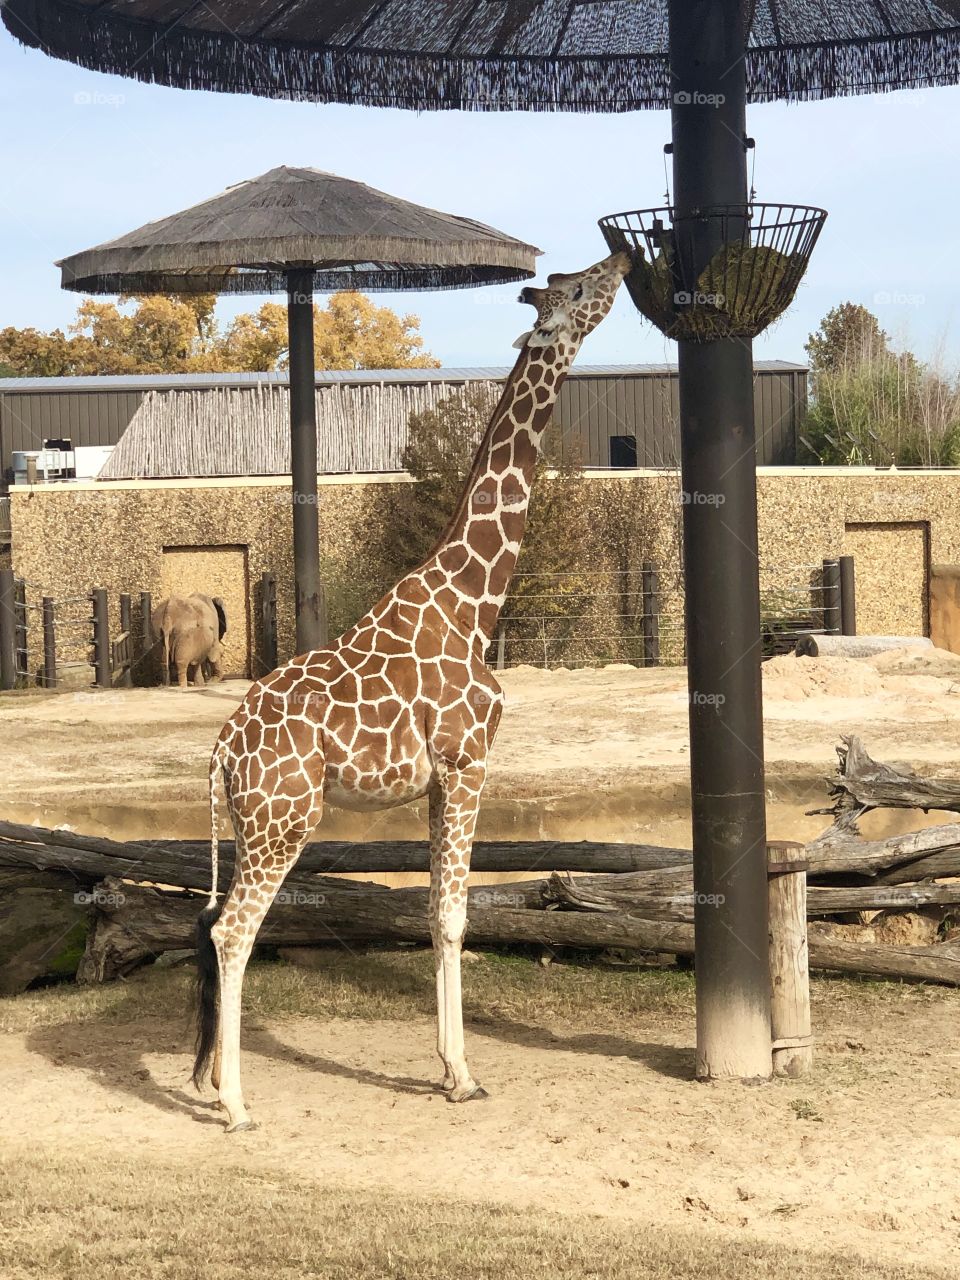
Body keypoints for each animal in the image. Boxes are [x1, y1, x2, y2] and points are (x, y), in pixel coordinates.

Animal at [192, 250, 630, 1131]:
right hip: (286, 821)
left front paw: (447, 1067)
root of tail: (222, 750)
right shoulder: (468, 764)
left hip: (250, 823)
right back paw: (237, 1106)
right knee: (233, 932)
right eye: (576, 289)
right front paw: (463, 1074)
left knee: (220, 923)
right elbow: (458, 915)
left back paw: (218, 1084)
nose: (627, 259)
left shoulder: (434, 782)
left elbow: (434, 913)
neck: (473, 600)